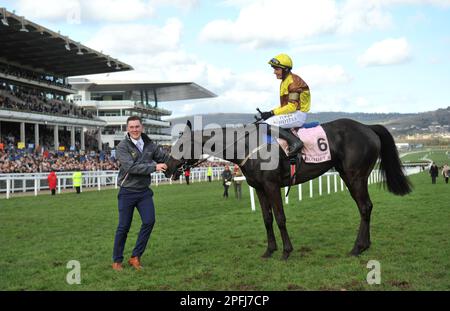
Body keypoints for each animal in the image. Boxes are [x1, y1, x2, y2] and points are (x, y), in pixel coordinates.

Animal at [165, 119, 412, 260]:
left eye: (181, 146)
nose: (167, 168)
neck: (247, 146)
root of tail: (367, 128)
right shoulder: (259, 188)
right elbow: (267, 219)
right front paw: (269, 250)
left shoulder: (272, 186)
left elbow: (280, 218)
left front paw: (286, 251)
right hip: (347, 174)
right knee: (365, 207)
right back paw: (364, 245)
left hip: (355, 176)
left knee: (365, 207)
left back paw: (357, 247)